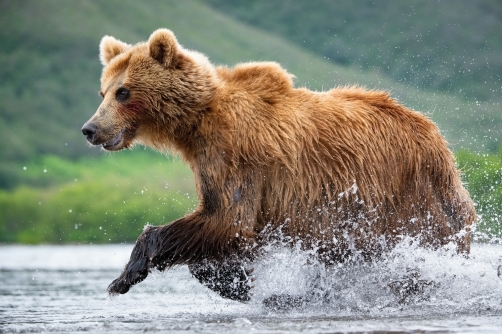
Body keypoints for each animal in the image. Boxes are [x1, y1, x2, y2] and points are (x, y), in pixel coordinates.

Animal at [81, 28, 474, 300]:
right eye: (103, 91)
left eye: (124, 91)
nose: (91, 129)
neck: (196, 123)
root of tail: (436, 137)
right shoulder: (212, 160)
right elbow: (224, 225)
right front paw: (236, 281)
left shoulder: (237, 155)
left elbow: (228, 220)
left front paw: (124, 276)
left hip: (405, 194)